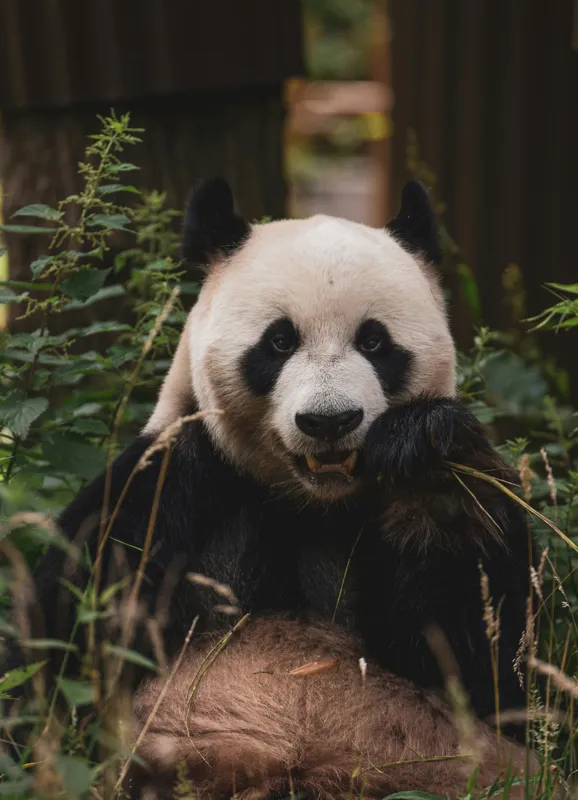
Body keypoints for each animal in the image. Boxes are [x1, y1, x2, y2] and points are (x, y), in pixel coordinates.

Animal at [21, 179, 535, 797]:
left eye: (374, 342)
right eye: (280, 341)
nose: (329, 421)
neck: (309, 502)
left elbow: (487, 664)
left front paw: (425, 456)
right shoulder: (169, 487)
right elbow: (60, 642)